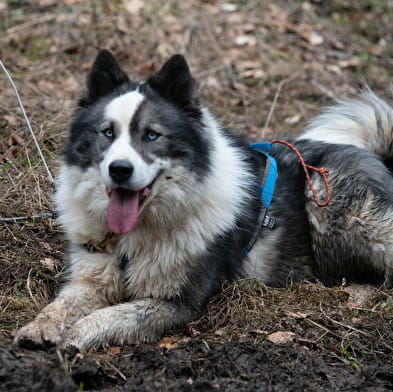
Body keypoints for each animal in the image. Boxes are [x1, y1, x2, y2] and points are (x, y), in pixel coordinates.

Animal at [13, 49, 392, 352]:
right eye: (107, 133)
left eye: (152, 135)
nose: (119, 170)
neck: (134, 235)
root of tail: (379, 158)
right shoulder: (90, 278)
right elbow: (62, 304)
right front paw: (39, 327)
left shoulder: (176, 302)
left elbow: (114, 314)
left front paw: (76, 335)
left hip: (332, 202)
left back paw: (354, 294)